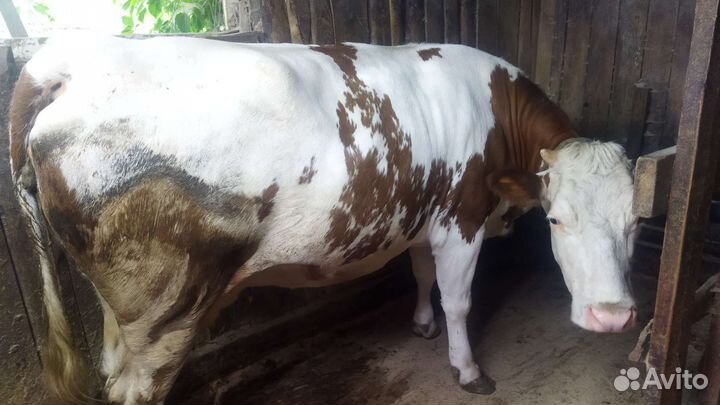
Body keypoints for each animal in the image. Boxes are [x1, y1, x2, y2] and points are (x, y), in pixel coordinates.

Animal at [9, 34, 638, 405]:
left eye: (635, 222)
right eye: (557, 220)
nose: (612, 317)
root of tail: (65, 64)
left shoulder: (423, 213)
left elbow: (421, 275)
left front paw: (421, 323)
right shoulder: (461, 217)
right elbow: (459, 300)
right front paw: (467, 369)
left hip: (123, 310)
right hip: (164, 309)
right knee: (137, 388)